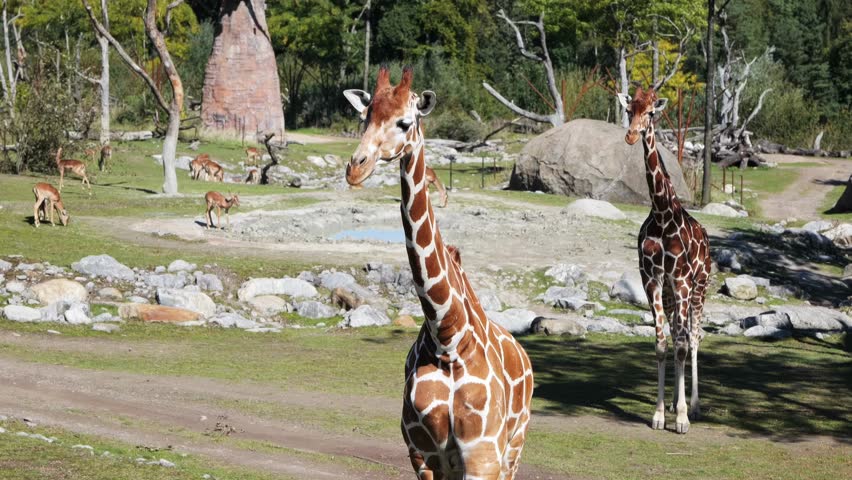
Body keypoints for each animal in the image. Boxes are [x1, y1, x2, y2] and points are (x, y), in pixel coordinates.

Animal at [343, 66, 533, 479]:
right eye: (364, 117)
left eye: (404, 121)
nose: (355, 169)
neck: (448, 336)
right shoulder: (422, 454)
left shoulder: (482, 456)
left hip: (513, 448)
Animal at [617, 87, 711, 434]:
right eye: (629, 110)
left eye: (651, 113)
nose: (632, 135)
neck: (662, 215)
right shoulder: (653, 281)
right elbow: (661, 344)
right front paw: (659, 414)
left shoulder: (682, 280)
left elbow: (684, 344)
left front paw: (682, 418)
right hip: (672, 296)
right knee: (676, 334)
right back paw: (673, 402)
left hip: (699, 288)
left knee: (693, 337)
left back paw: (693, 406)